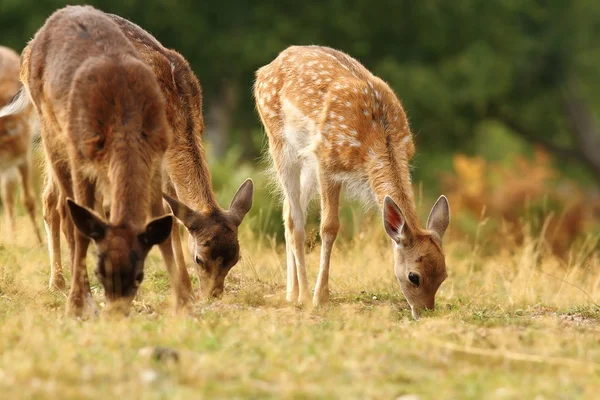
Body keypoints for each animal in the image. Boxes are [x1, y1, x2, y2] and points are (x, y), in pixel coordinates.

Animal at [0, 3, 188, 316]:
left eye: (139, 275)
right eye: (101, 271)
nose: (116, 312)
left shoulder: (155, 156)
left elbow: (161, 220)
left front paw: (185, 302)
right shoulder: (81, 156)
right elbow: (80, 226)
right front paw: (77, 303)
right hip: (51, 131)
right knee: (63, 210)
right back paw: (69, 290)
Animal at [254, 44, 450, 318]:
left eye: (444, 275)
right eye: (414, 276)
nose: (425, 312)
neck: (376, 139)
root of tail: (267, 67)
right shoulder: (327, 161)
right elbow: (329, 227)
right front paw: (320, 297)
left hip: (306, 160)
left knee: (288, 209)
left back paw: (291, 292)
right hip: (279, 139)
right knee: (295, 219)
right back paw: (302, 295)